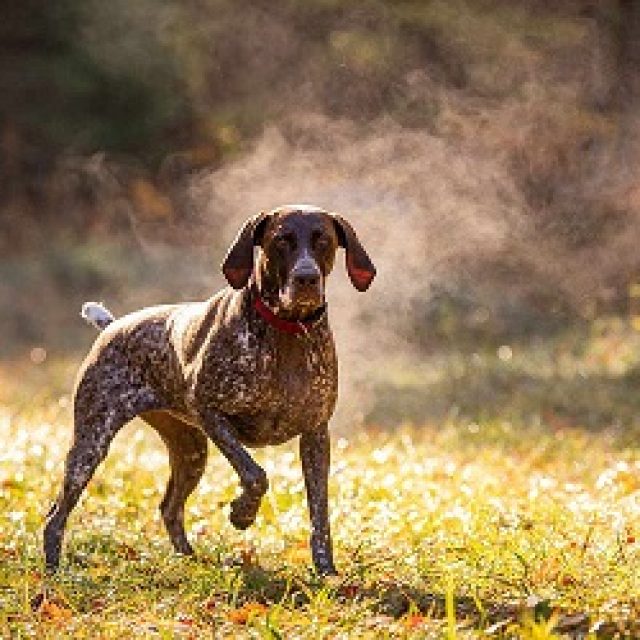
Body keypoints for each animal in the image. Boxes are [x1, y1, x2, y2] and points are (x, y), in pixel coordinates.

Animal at [44, 204, 375, 575]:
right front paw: (242, 513)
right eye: (281, 240)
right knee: (56, 515)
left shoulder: (316, 435)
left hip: (192, 452)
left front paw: (326, 570)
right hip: (91, 445)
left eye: (323, 240)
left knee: (170, 507)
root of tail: (112, 326)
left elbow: (319, 511)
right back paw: (53, 569)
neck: (287, 331)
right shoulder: (210, 412)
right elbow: (256, 474)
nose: (306, 278)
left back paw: (191, 560)